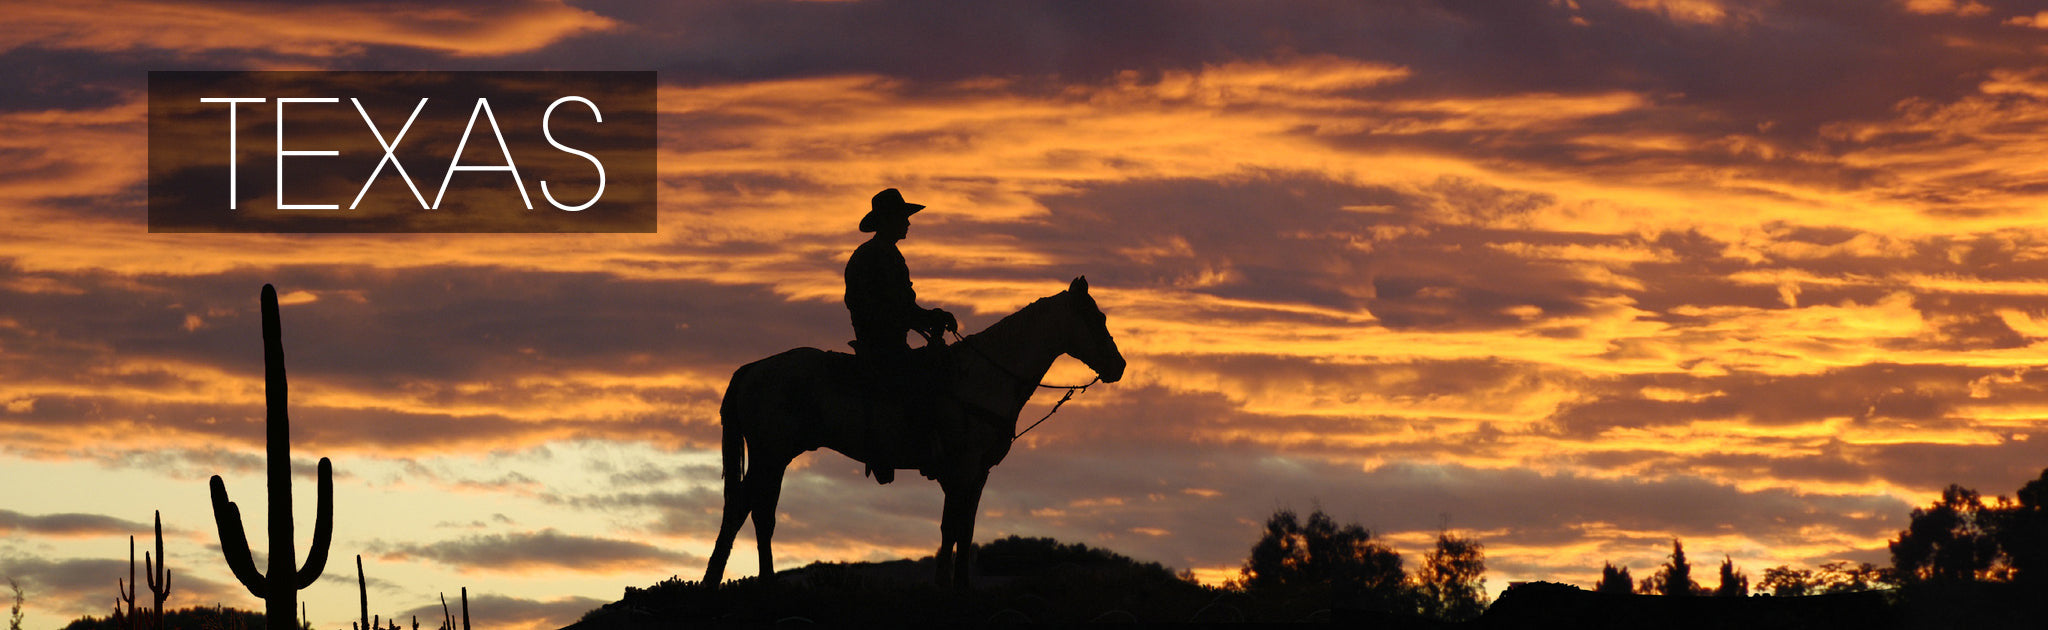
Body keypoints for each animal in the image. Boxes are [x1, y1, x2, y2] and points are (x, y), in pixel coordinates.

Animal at [700, 278, 1122, 589]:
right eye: (1096, 318)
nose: (1119, 366)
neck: (984, 377)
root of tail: (752, 369)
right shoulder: (963, 469)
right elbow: (955, 528)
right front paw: (948, 588)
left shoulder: (974, 474)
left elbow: (961, 529)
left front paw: (953, 587)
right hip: (770, 454)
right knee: (746, 509)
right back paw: (723, 582)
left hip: (774, 456)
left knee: (757, 512)